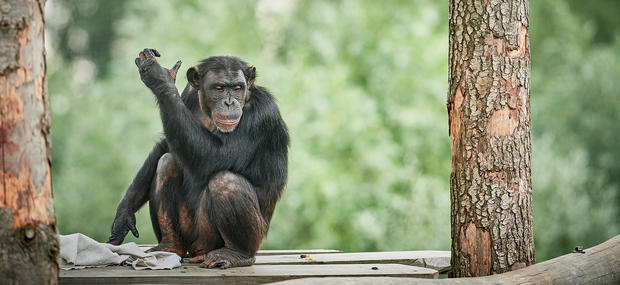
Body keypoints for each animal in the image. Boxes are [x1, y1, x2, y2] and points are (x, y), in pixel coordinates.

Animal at [108, 47, 290, 268]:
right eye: (219, 88)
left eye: (238, 87)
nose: (229, 102)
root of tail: (197, 251)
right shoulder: (188, 95)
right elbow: (166, 145)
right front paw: (124, 212)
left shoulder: (262, 114)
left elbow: (217, 157)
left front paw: (159, 78)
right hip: (190, 236)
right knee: (167, 162)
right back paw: (169, 246)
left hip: (225, 239)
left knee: (225, 181)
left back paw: (236, 253)